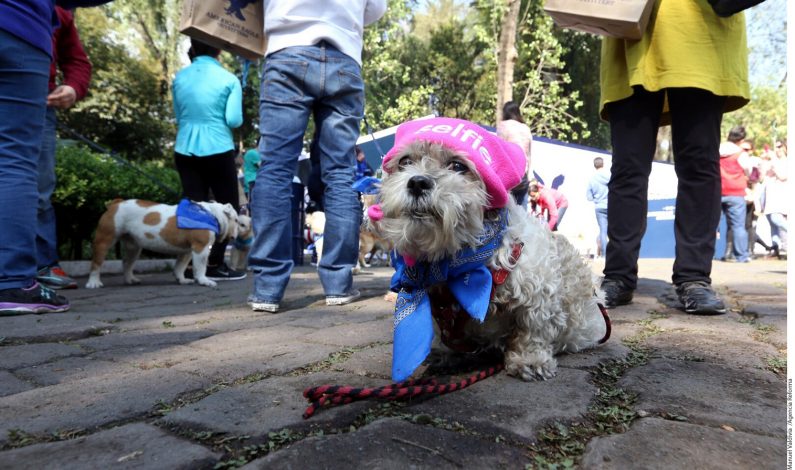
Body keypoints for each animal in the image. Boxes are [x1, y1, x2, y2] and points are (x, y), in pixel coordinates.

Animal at [370, 117, 608, 382]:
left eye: (458, 166)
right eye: (404, 161)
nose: (418, 182)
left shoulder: (539, 292)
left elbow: (532, 330)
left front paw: (530, 360)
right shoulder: (440, 311)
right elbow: (445, 335)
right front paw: (444, 356)